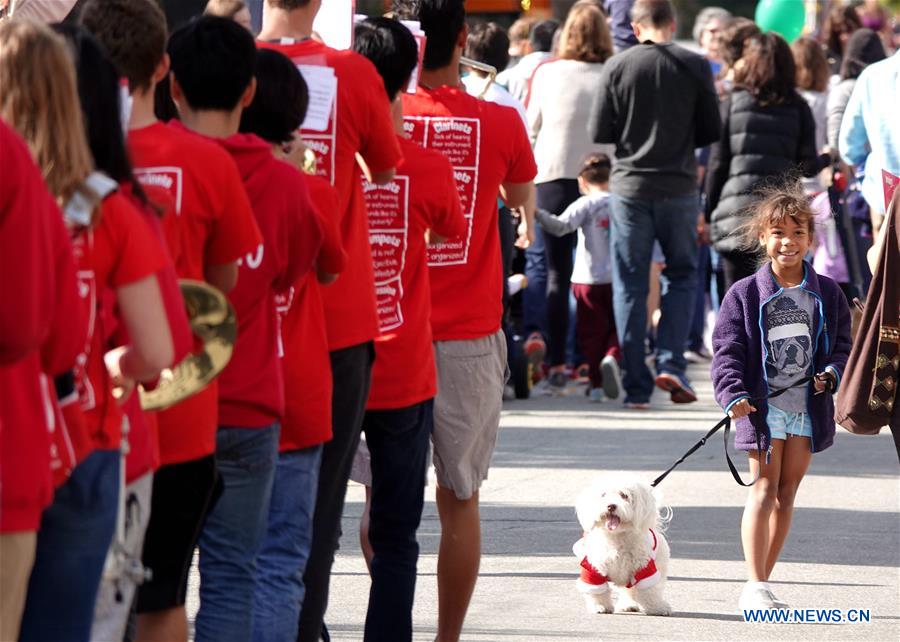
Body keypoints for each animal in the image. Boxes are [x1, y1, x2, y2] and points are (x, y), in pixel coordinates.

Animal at [572, 472, 672, 612]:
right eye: (603, 495)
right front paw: (600, 605)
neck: (617, 537)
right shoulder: (593, 569)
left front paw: (657, 607)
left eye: (624, 495)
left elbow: (650, 590)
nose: (611, 506)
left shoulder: (645, 569)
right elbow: (597, 591)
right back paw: (628, 604)